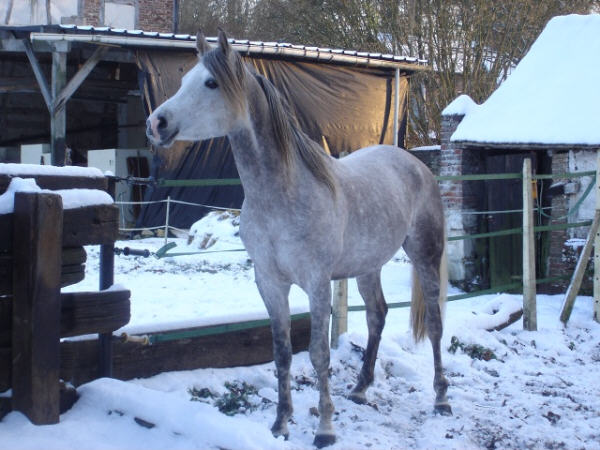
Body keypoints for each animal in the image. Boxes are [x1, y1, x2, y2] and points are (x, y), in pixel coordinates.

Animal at [148, 30, 450, 446]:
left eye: (210, 83)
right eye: (183, 81)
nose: (156, 123)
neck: (283, 195)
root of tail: (416, 164)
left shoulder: (316, 283)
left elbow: (319, 354)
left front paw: (324, 429)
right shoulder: (270, 283)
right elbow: (283, 353)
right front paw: (280, 423)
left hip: (424, 253)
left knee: (435, 322)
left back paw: (441, 399)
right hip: (367, 266)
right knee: (377, 315)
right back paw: (360, 388)